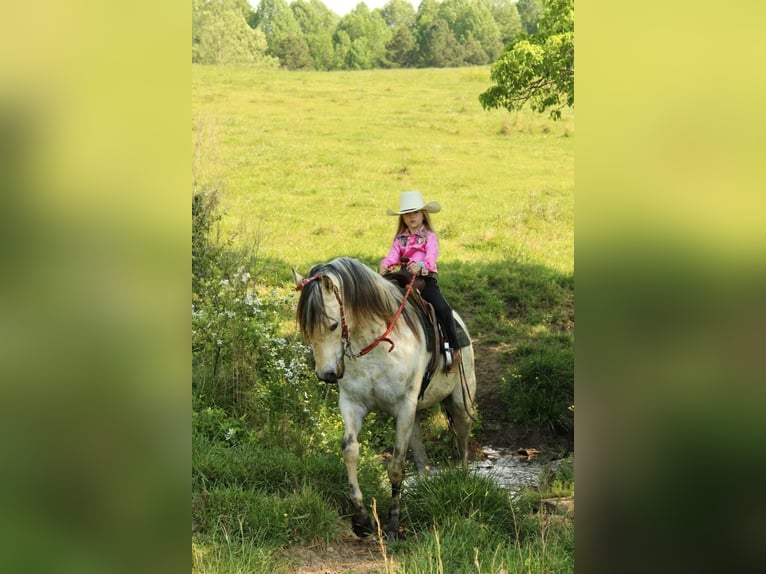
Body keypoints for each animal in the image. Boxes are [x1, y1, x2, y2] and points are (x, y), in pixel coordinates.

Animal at [292, 258, 476, 540]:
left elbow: (397, 465)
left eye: (333, 325)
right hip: (415, 413)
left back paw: (464, 481)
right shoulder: (352, 404)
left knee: (462, 440)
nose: (327, 374)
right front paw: (361, 519)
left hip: (459, 403)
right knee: (420, 454)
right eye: (306, 327)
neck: (376, 344)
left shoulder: (404, 407)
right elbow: (350, 451)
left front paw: (392, 524)